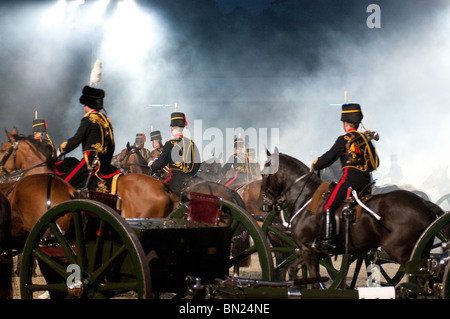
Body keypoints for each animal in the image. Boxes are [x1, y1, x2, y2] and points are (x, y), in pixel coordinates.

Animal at [258, 149, 444, 282]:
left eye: (264, 172)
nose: (263, 203)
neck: (307, 197)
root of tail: (424, 203)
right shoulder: (312, 252)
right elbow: (295, 270)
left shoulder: (308, 250)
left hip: (401, 251)